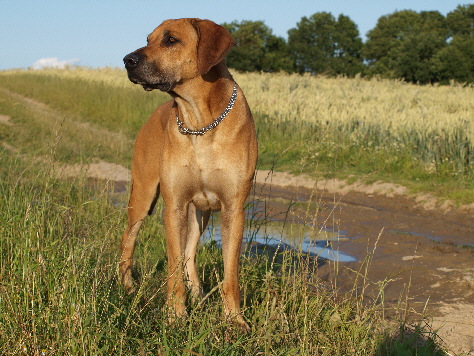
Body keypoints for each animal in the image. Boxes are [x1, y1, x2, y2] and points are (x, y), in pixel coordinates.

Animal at [120, 18, 258, 330]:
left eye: (171, 40)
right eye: (148, 39)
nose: (127, 60)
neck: (200, 121)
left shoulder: (233, 208)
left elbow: (230, 275)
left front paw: (234, 320)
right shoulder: (174, 206)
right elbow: (172, 267)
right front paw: (174, 315)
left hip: (201, 212)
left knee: (189, 251)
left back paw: (197, 292)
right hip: (143, 194)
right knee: (128, 239)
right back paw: (127, 286)